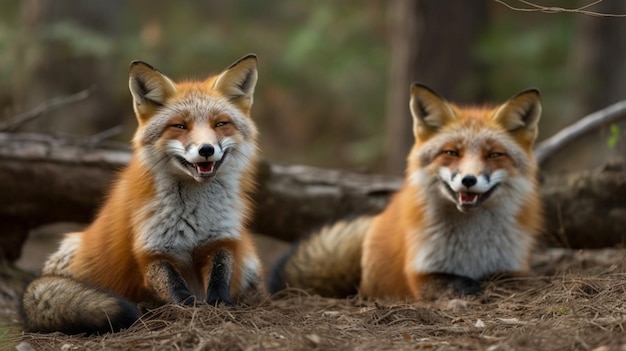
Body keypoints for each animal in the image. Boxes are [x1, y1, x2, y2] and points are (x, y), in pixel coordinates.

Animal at [21, 55, 264, 336]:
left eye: (220, 124)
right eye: (180, 126)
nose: (206, 149)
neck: (196, 214)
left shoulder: (221, 239)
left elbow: (219, 278)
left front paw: (222, 308)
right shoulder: (154, 250)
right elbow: (178, 291)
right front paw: (190, 315)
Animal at [270, 84, 544, 302]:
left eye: (494, 154)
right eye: (451, 153)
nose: (468, 180)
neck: (471, 245)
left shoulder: (514, 267)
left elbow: (510, 280)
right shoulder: (421, 273)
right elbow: (457, 282)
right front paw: (473, 289)